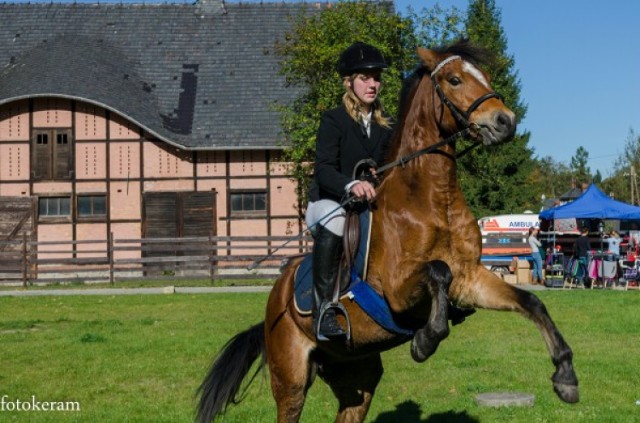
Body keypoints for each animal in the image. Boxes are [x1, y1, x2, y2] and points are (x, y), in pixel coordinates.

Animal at [196, 42, 580, 423]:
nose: (505, 122)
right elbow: (438, 271)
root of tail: (273, 301)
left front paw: (565, 377)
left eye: (484, 76)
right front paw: (424, 341)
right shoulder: (396, 289)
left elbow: (531, 301)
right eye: (454, 80)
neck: (433, 199)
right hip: (290, 380)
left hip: (356, 374)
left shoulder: (470, 279)